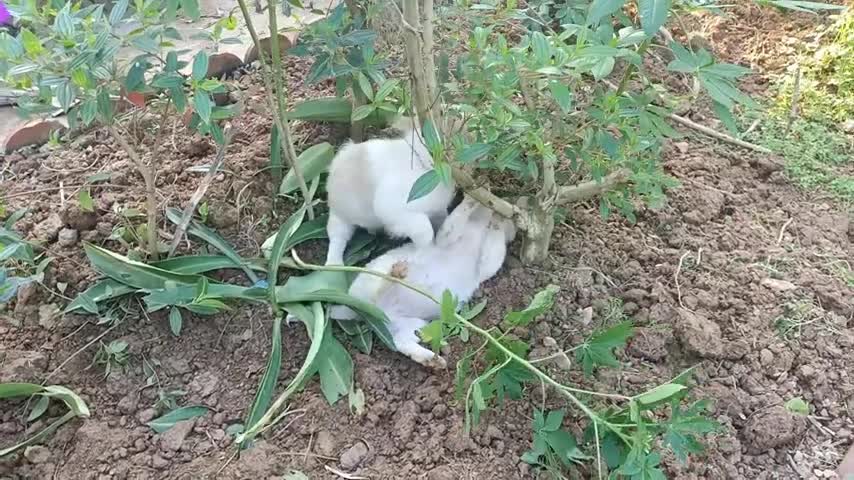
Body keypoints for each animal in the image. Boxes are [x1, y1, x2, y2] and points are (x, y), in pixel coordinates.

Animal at [324, 116, 458, 266]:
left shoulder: (437, 209)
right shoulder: (395, 210)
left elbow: (441, 221)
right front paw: (425, 252)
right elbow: (425, 232)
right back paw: (334, 263)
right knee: (337, 238)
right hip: (340, 217)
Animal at [330, 195, 516, 368]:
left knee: (400, 342)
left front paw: (497, 219)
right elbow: (457, 221)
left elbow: (495, 246)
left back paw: (432, 360)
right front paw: (477, 201)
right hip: (374, 280)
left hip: (409, 323)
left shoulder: (487, 263)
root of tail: (352, 310)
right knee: (380, 287)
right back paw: (397, 272)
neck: (479, 228)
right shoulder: (446, 238)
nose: (510, 220)